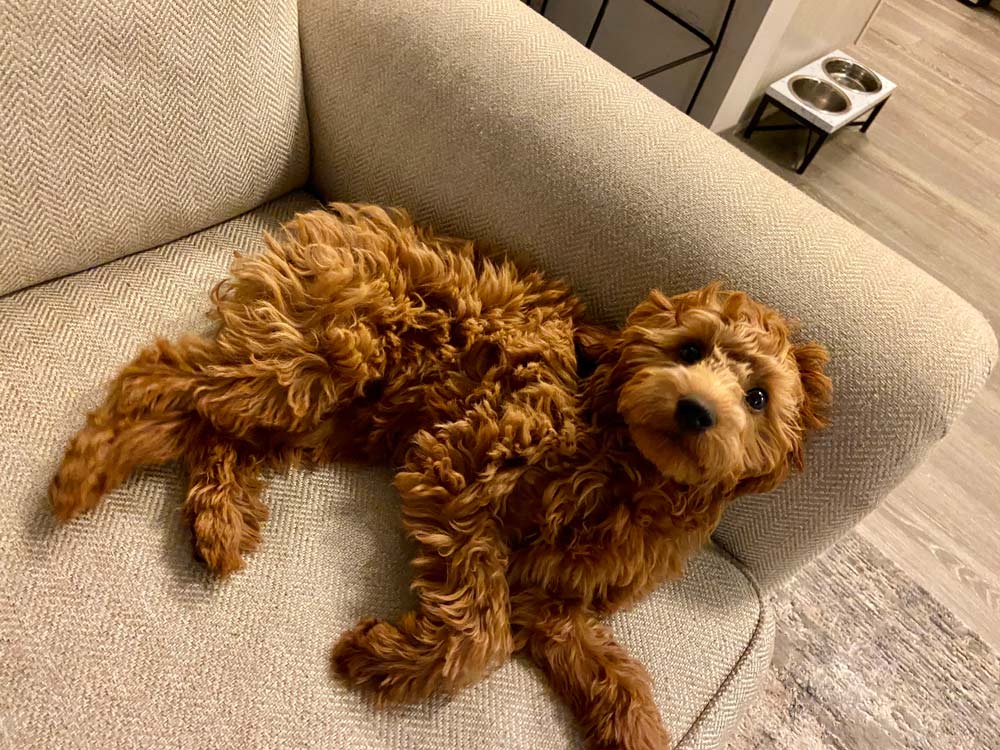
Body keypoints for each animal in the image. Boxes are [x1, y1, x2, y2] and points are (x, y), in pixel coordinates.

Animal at [48, 204, 828, 750]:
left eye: (758, 397)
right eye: (688, 350)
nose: (696, 410)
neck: (629, 468)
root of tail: (330, 222)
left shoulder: (556, 603)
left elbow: (614, 676)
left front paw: (636, 730)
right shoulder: (463, 466)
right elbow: (478, 633)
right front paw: (378, 659)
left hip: (329, 413)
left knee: (213, 428)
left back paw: (220, 520)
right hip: (321, 357)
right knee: (167, 376)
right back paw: (86, 470)